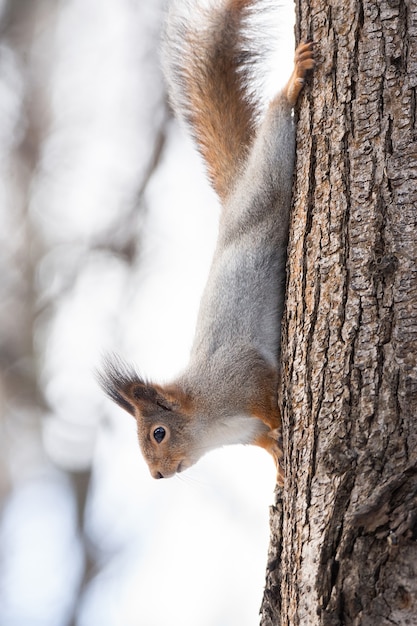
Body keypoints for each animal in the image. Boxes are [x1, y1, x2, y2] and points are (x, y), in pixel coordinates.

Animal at [98, 0, 312, 486]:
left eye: (157, 433)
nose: (157, 476)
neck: (209, 419)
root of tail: (235, 196)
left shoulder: (242, 377)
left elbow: (268, 396)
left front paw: (282, 424)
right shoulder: (244, 429)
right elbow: (263, 440)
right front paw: (277, 457)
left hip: (269, 181)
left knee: (276, 128)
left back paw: (291, 85)